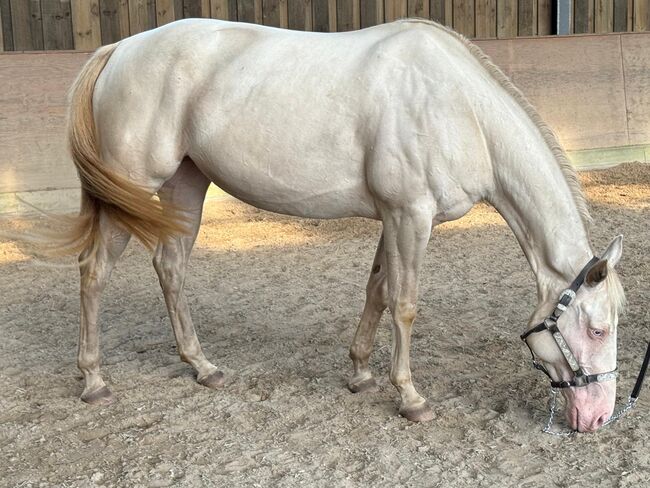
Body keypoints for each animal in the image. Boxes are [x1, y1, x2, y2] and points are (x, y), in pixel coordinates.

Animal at [55, 19, 624, 432]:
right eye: (597, 329)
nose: (598, 417)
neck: (457, 108)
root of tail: (120, 48)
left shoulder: (393, 219)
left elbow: (376, 292)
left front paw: (361, 374)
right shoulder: (410, 216)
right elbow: (405, 304)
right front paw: (411, 397)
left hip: (184, 186)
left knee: (169, 266)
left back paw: (203, 367)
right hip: (130, 189)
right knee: (94, 271)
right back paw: (94, 381)